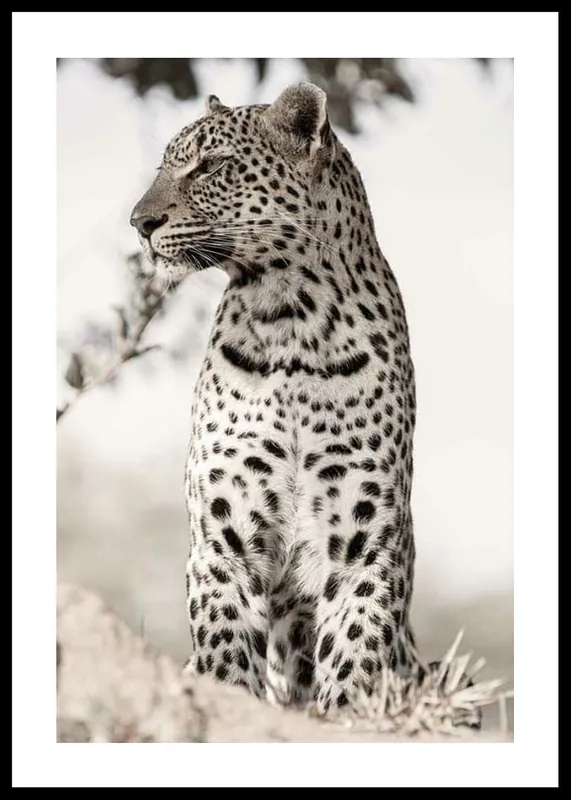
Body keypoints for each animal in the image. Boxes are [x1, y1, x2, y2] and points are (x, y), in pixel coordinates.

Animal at [130, 82, 473, 722]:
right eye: (166, 165)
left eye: (210, 166)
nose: (139, 222)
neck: (290, 316)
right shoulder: (223, 537)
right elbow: (224, 651)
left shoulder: (365, 543)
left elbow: (354, 656)